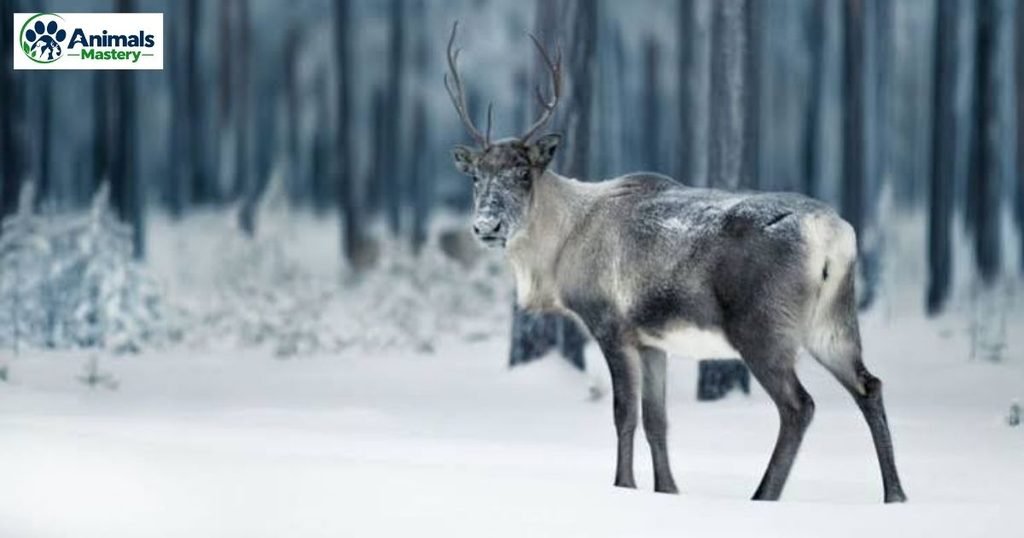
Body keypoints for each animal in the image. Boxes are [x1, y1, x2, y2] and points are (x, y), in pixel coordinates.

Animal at [444, 22, 907, 503]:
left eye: (523, 173)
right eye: (476, 176)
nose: (487, 225)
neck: (559, 249)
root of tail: (832, 234)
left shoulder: (610, 325)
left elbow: (624, 414)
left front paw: (624, 485)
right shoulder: (653, 341)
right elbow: (657, 420)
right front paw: (667, 490)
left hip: (763, 328)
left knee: (799, 406)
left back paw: (763, 494)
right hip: (833, 321)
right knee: (869, 385)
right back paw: (895, 494)